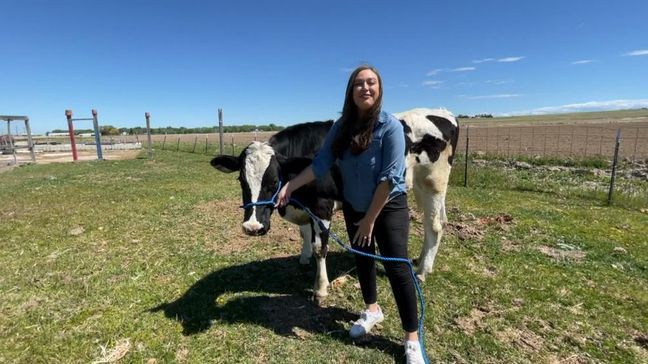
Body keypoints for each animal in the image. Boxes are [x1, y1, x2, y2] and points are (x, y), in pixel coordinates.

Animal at [210, 106, 458, 296]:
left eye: (273, 181)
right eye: (241, 179)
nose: (252, 227)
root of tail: (444, 113)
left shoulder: (322, 206)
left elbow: (321, 247)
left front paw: (320, 287)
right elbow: (305, 235)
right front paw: (304, 258)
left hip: (433, 182)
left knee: (434, 225)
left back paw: (423, 270)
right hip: (419, 185)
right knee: (437, 222)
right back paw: (420, 260)